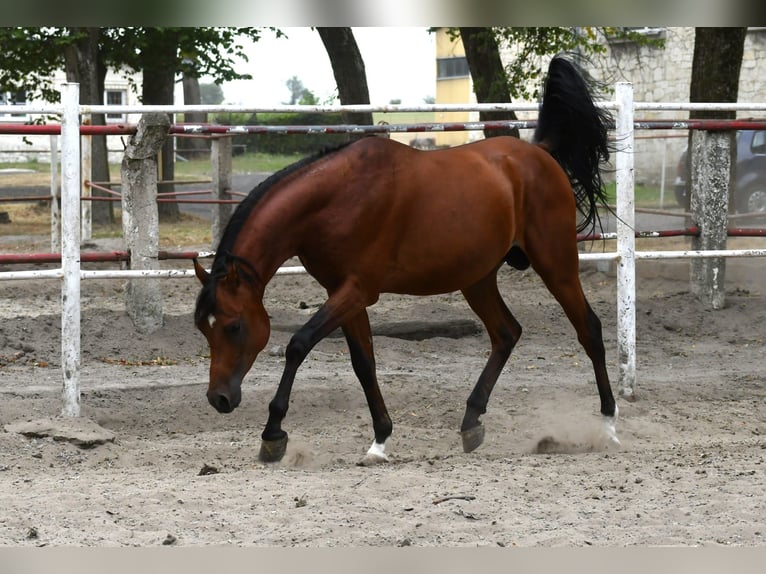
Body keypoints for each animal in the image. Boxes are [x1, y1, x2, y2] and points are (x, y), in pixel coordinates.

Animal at [193, 54, 620, 465]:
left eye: (233, 326)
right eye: (203, 328)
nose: (219, 398)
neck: (335, 200)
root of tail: (541, 153)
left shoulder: (357, 290)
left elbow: (299, 344)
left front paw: (273, 435)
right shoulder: (344, 293)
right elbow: (363, 363)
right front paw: (380, 440)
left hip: (556, 263)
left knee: (589, 330)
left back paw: (609, 425)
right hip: (477, 277)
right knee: (506, 333)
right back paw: (471, 422)